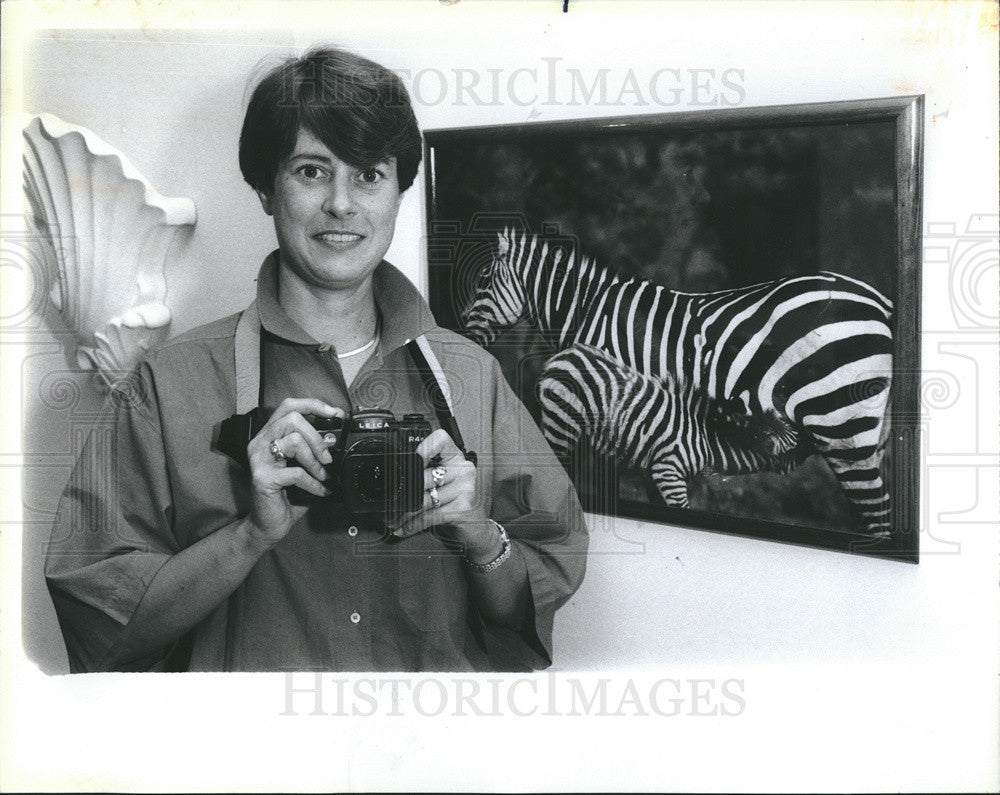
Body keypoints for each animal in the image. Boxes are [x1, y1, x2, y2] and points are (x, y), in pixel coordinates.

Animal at [536, 344, 808, 510]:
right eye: (794, 443)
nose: (812, 437)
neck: (707, 440)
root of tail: (566, 354)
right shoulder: (667, 471)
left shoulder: (655, 473)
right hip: (561, 421)